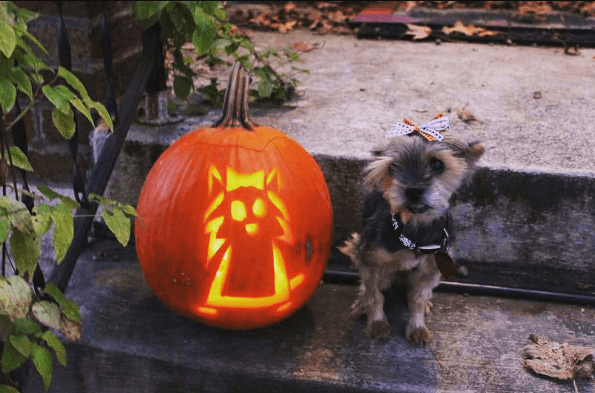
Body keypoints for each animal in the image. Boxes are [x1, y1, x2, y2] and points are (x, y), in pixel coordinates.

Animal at [340, 114, 484, 344]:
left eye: (437, 164)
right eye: (392, 168)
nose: (413, 191)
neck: (413, 230)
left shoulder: (432, 268)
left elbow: (418, 297)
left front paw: (417, 326)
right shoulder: (368, 256)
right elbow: (374, 294)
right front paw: (377, 322)